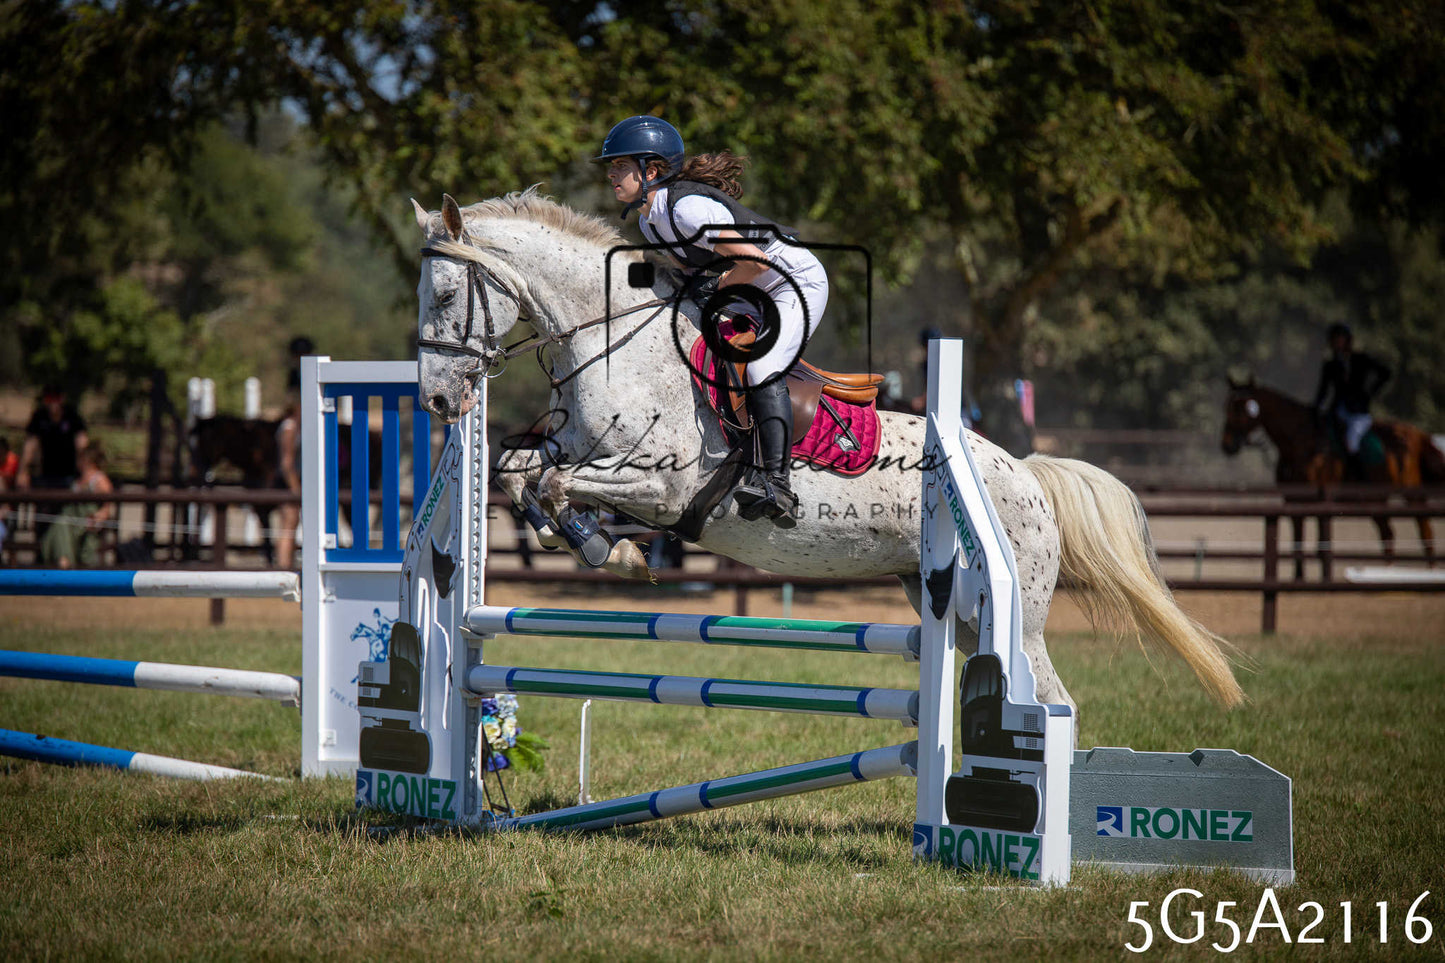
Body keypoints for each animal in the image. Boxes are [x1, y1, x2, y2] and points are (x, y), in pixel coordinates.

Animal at [410, 189, 1244, 725]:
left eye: (447, 294)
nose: (439, 401)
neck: (612, 342)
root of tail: (1021, 471)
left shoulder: (664, 485)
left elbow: (558, 482)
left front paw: (605, 550)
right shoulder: (578, 451)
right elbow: (525, 475)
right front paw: (593, 543)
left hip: (1017, 613)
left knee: (1047, 696)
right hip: (950, 602)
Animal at [1221, 377, 1442, 571]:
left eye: (1241, 408)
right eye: (1227, 406)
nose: (1227, 445)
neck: (1301, 442)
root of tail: (1417, 433)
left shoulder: (1322, 501)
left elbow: (1322, 546)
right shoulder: (1293, 501)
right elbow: (1298, 544)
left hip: (1410, 493)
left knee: (1424, 529)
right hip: (1376, 500)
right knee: (1388, 533)